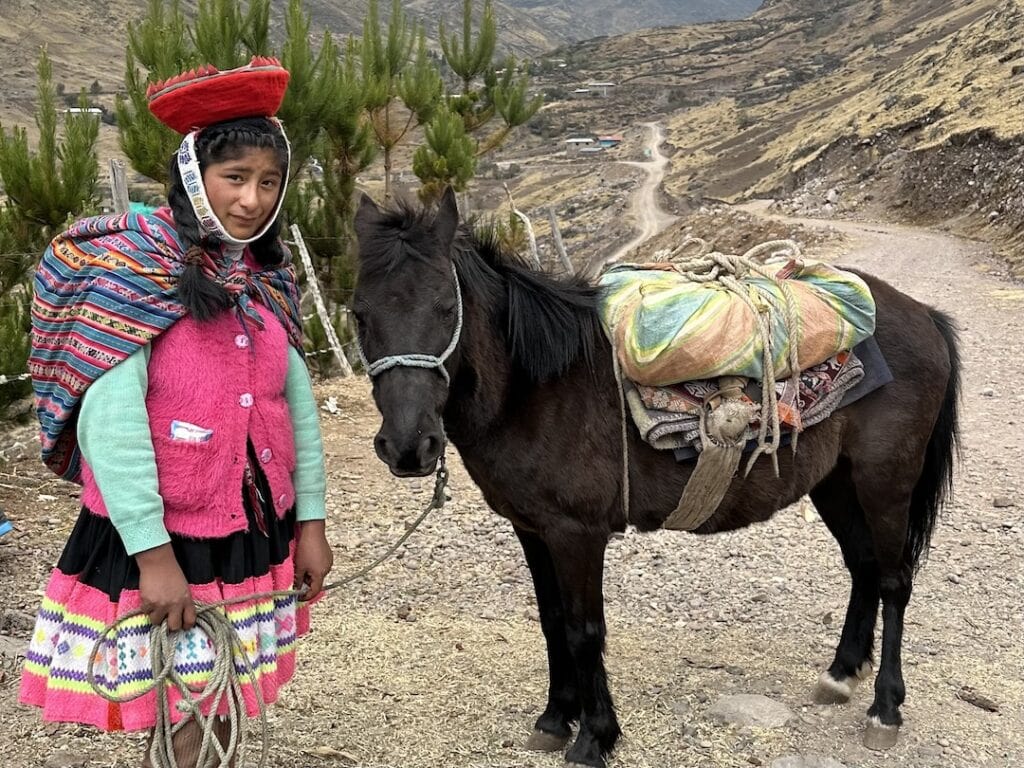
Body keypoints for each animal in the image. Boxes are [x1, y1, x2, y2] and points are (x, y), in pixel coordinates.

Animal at [352, 188, 958, 768]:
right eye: (359, 314)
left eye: (445, 306)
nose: (409, 446)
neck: (537, 386)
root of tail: (923, 314)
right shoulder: (532, 529)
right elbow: (551, 620)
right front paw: (555, 718)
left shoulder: (576, 534)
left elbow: (583, 630)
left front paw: (595, 738)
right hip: (836, 483)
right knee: (864, 566)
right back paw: (841, 674)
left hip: (885, 481)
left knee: (894, 580)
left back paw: (884, 709)